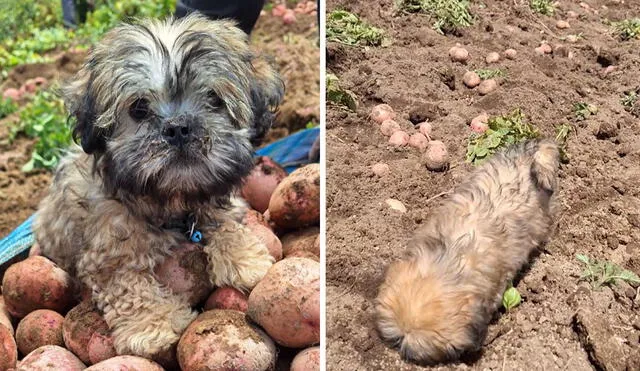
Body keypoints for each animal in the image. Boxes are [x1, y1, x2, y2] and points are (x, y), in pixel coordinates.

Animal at [34, 13, 282, 358]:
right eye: (138, 108)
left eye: (213, 99)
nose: (178, 128)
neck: (171, 200)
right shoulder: (106, 250)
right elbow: (127, 283)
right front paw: (153, 325)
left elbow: (223, 218)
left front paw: (245, 259)